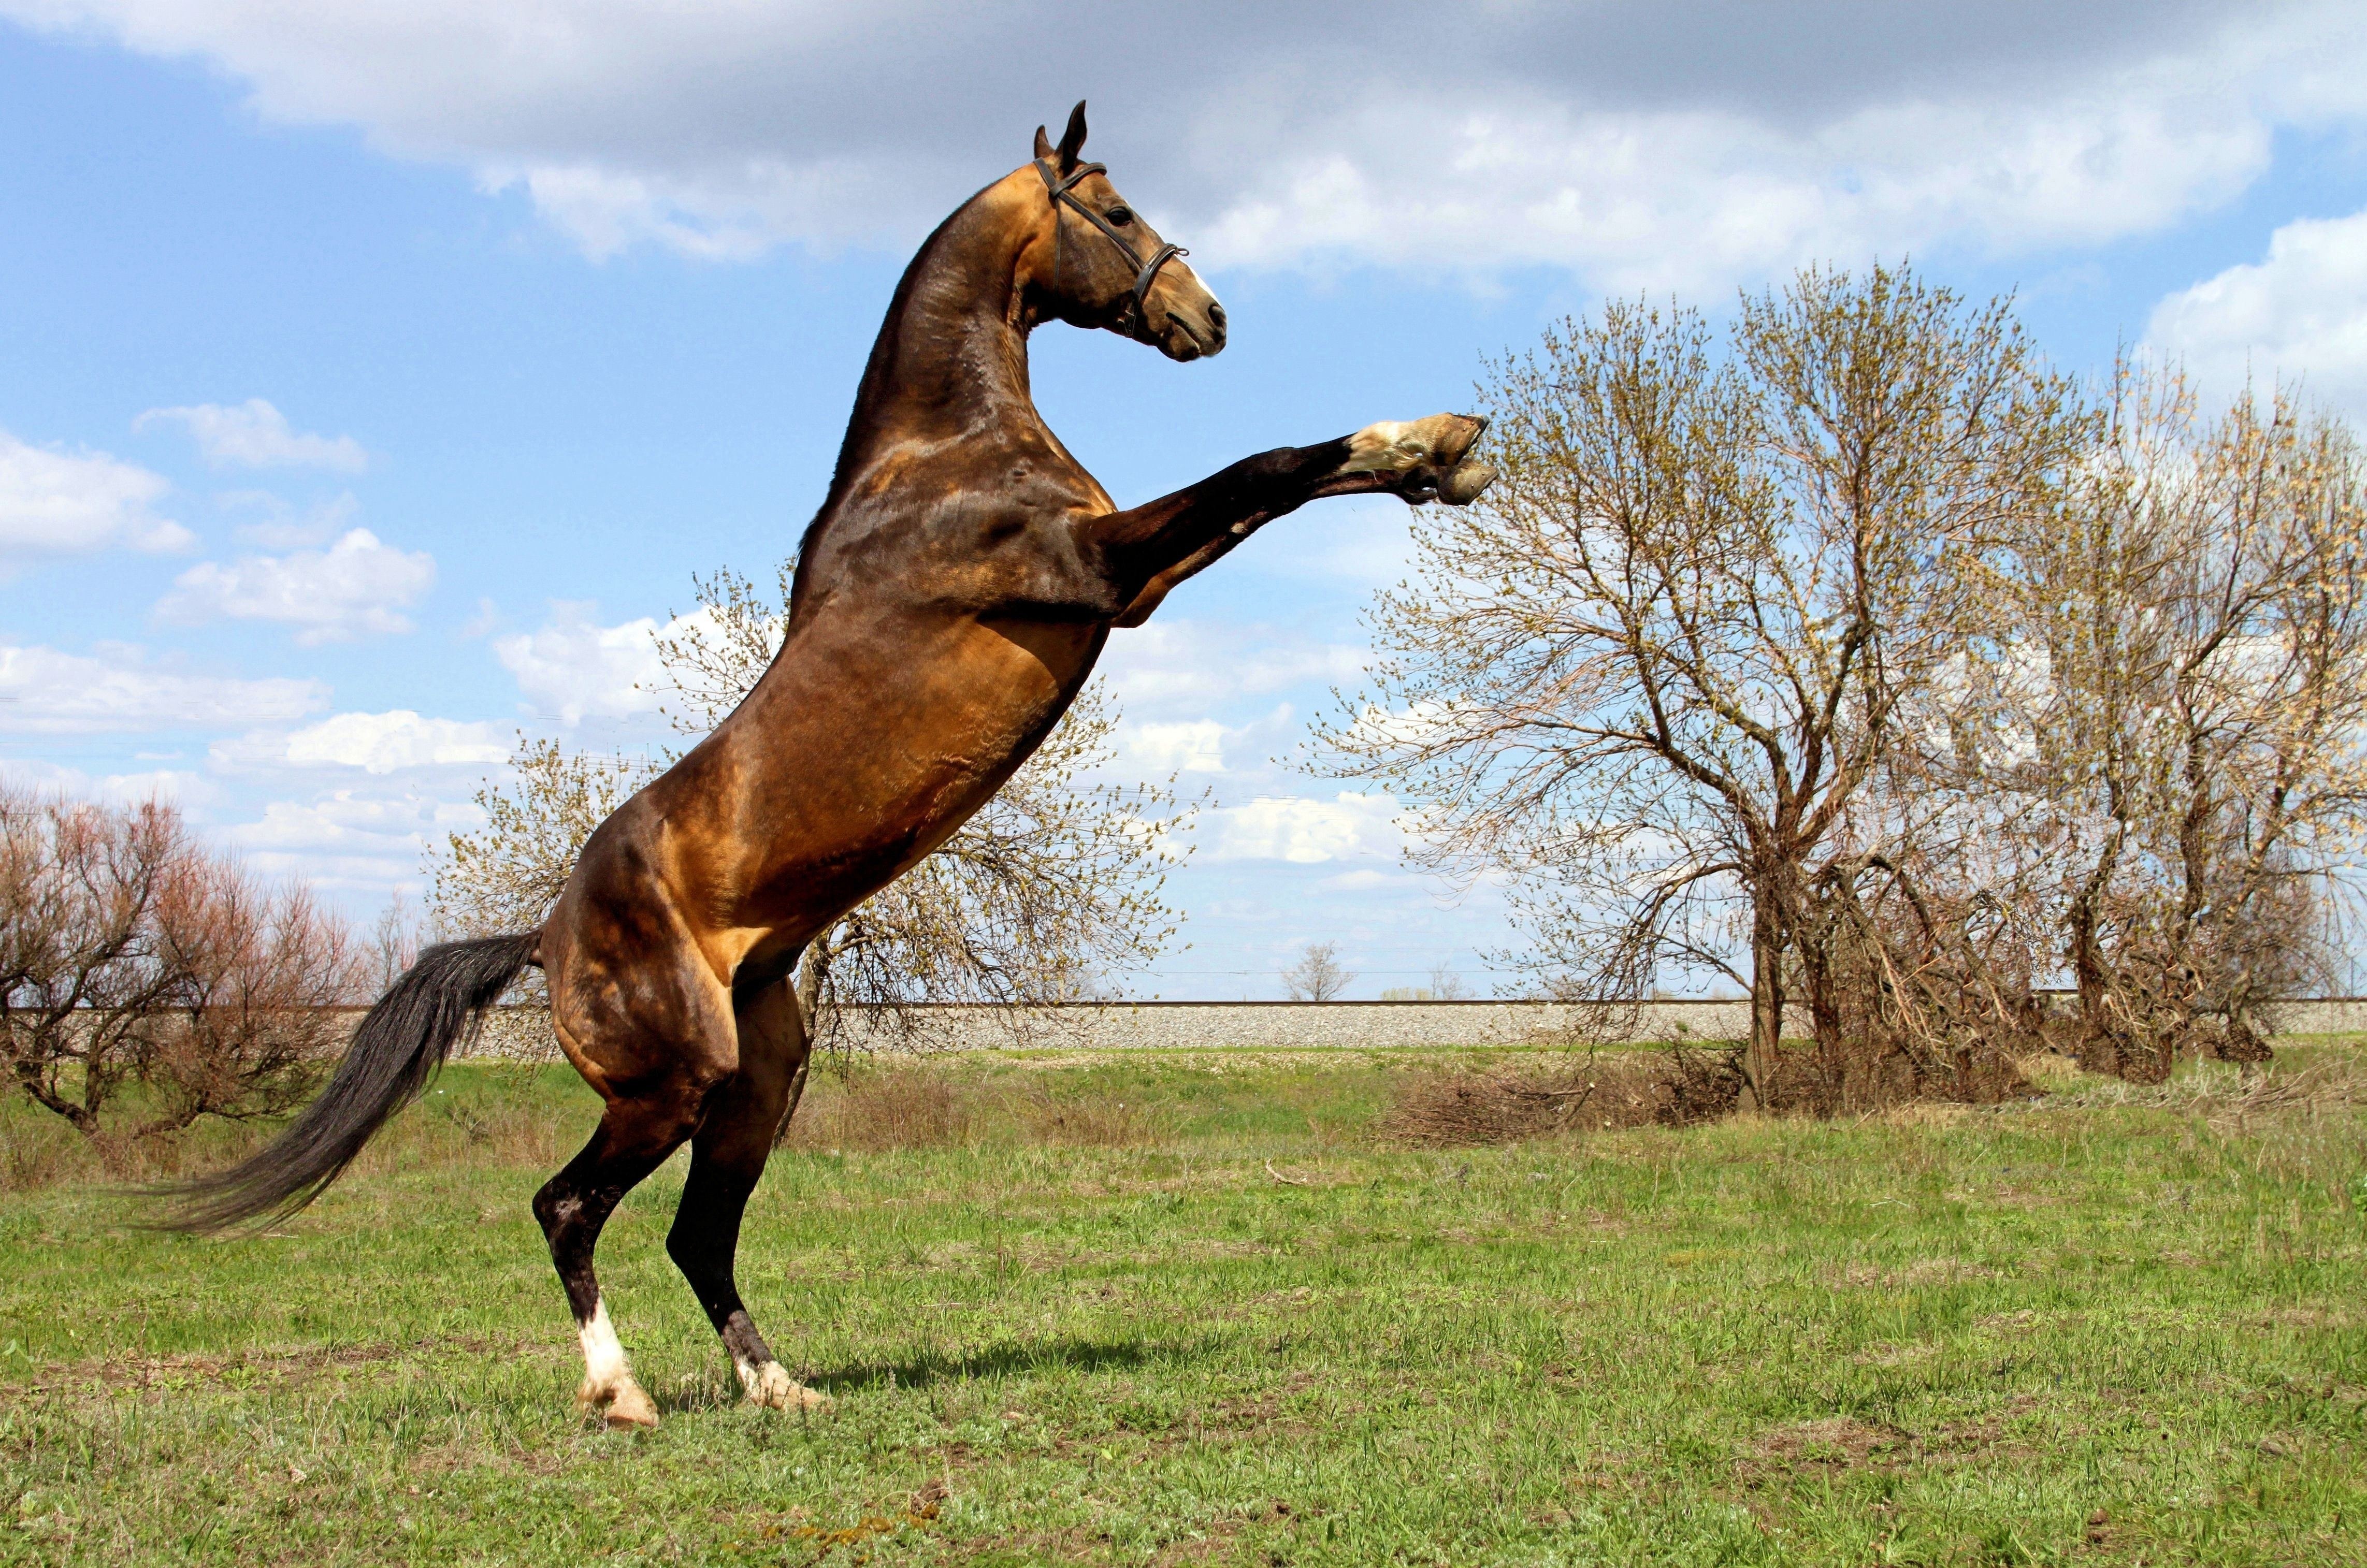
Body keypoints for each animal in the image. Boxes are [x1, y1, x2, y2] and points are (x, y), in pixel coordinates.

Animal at [167, 103, 1494, 1428]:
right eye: (1114, 212)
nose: (1207, 317)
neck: (941, 455)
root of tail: (541, 936)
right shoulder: (1096, 568)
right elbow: (1264, 468)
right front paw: (1433, 441)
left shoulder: (1135, 585)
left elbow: (1277, 487)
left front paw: (1438, 458)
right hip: (671, 1080)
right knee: (567, 1206)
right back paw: (621, 1392)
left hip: (757, 1082)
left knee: (697, 1233)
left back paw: (778, 1384)